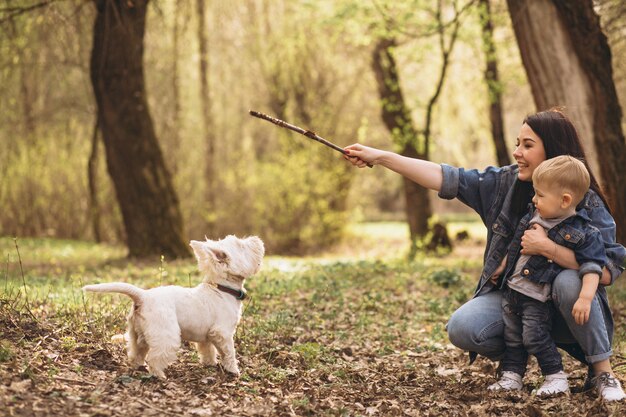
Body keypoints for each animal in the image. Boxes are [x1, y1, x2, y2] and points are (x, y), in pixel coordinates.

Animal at [81, 234, 262, 376]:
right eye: (240, 245)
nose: (256, 238)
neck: (222, 289)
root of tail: (143, 296)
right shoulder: (222, 333)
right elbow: (229, 352)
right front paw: (234, 370)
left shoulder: (207, 336)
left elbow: (207, 351)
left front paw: (210, 363)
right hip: (166, 335)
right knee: (154, 358)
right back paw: (159, 375)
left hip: (136, 334)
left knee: (136, 353)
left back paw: (139, 366)